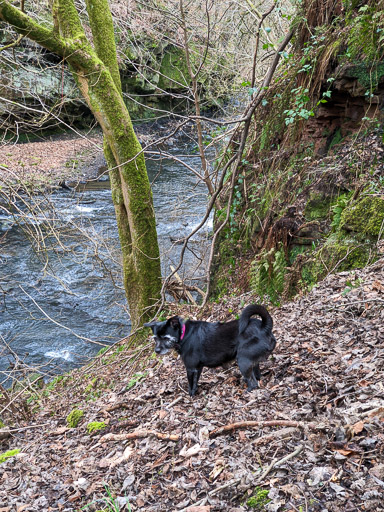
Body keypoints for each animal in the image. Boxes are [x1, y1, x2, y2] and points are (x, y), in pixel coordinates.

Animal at [145, 304, 276, 396]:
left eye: (166, 338)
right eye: (155, 338)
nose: (157, 350)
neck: (184, 334)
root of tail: (264, 327)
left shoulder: (190, 368)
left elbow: (190, 385)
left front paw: (190, 396)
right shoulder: (198, 368)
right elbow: (195, 383)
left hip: (243, 361)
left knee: (253, 383)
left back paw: (247, 391)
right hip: (252, 361)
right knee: (257, 376)